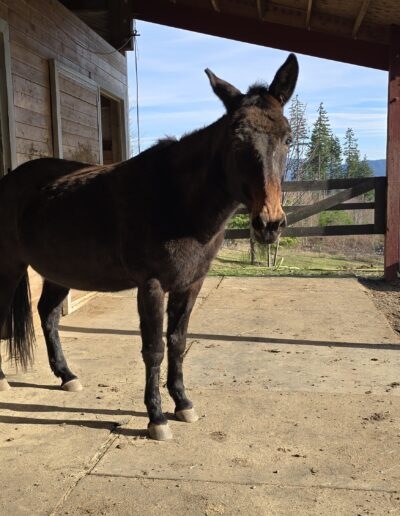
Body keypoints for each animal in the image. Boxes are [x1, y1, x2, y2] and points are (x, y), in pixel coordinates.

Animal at [0, 54, 298, 440]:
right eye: (236, 138)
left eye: (288, 138)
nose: (269, 224)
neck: (176, 199)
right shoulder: (152, 286)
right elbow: (154, 349)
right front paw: (156, 418)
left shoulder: (191, 284)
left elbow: (178, 342)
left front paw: (183, 403)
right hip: (8, 266)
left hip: (59, 271)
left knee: (48, 315)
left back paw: (67, 376)